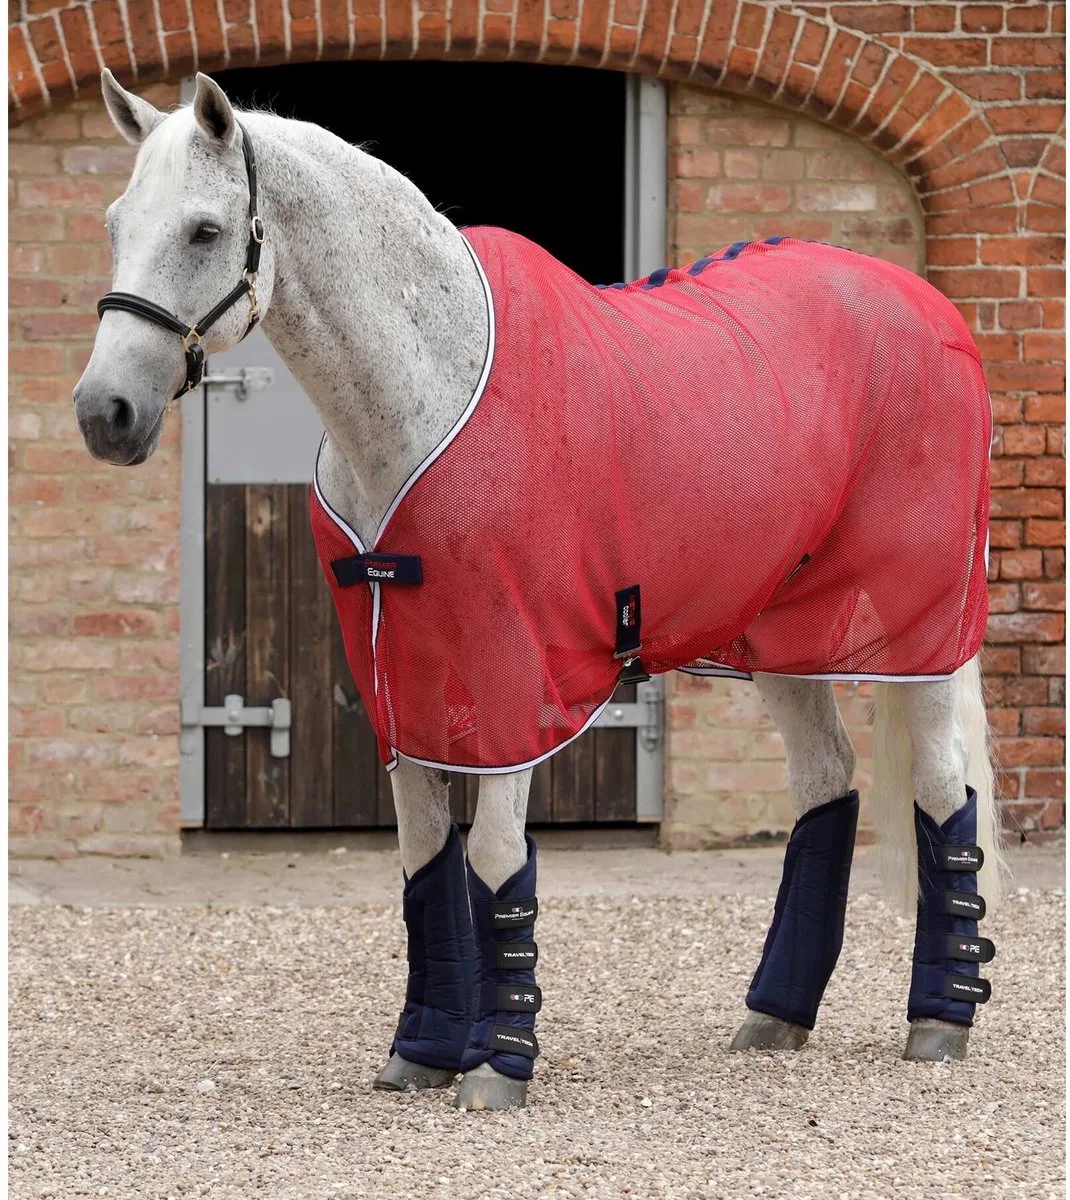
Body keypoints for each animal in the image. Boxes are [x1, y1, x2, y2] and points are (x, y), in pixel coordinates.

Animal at [74, 71, 1005, 1111]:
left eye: (203, 230)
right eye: (116, 222)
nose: (104, 413)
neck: (427, 389)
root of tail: (928, 307)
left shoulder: (512, 674)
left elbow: (492, 858)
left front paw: (498, 1067)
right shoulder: (398, 671)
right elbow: (424, 857)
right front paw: (423, 1051)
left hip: (920, 628)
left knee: (942, 786)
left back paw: (940, 1021)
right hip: (778, 630)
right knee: (824, 782)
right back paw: (774, 1017)